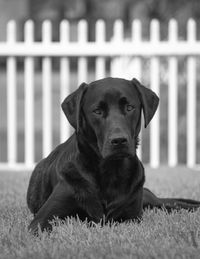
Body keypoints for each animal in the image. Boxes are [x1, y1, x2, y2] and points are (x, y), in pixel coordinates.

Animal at [26, 77, 200, 234]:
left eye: (129, 107)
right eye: (97, 111)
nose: (119, 141)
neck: (110, 171)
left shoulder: (133, 217)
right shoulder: (43, 218)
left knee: (172, 204)